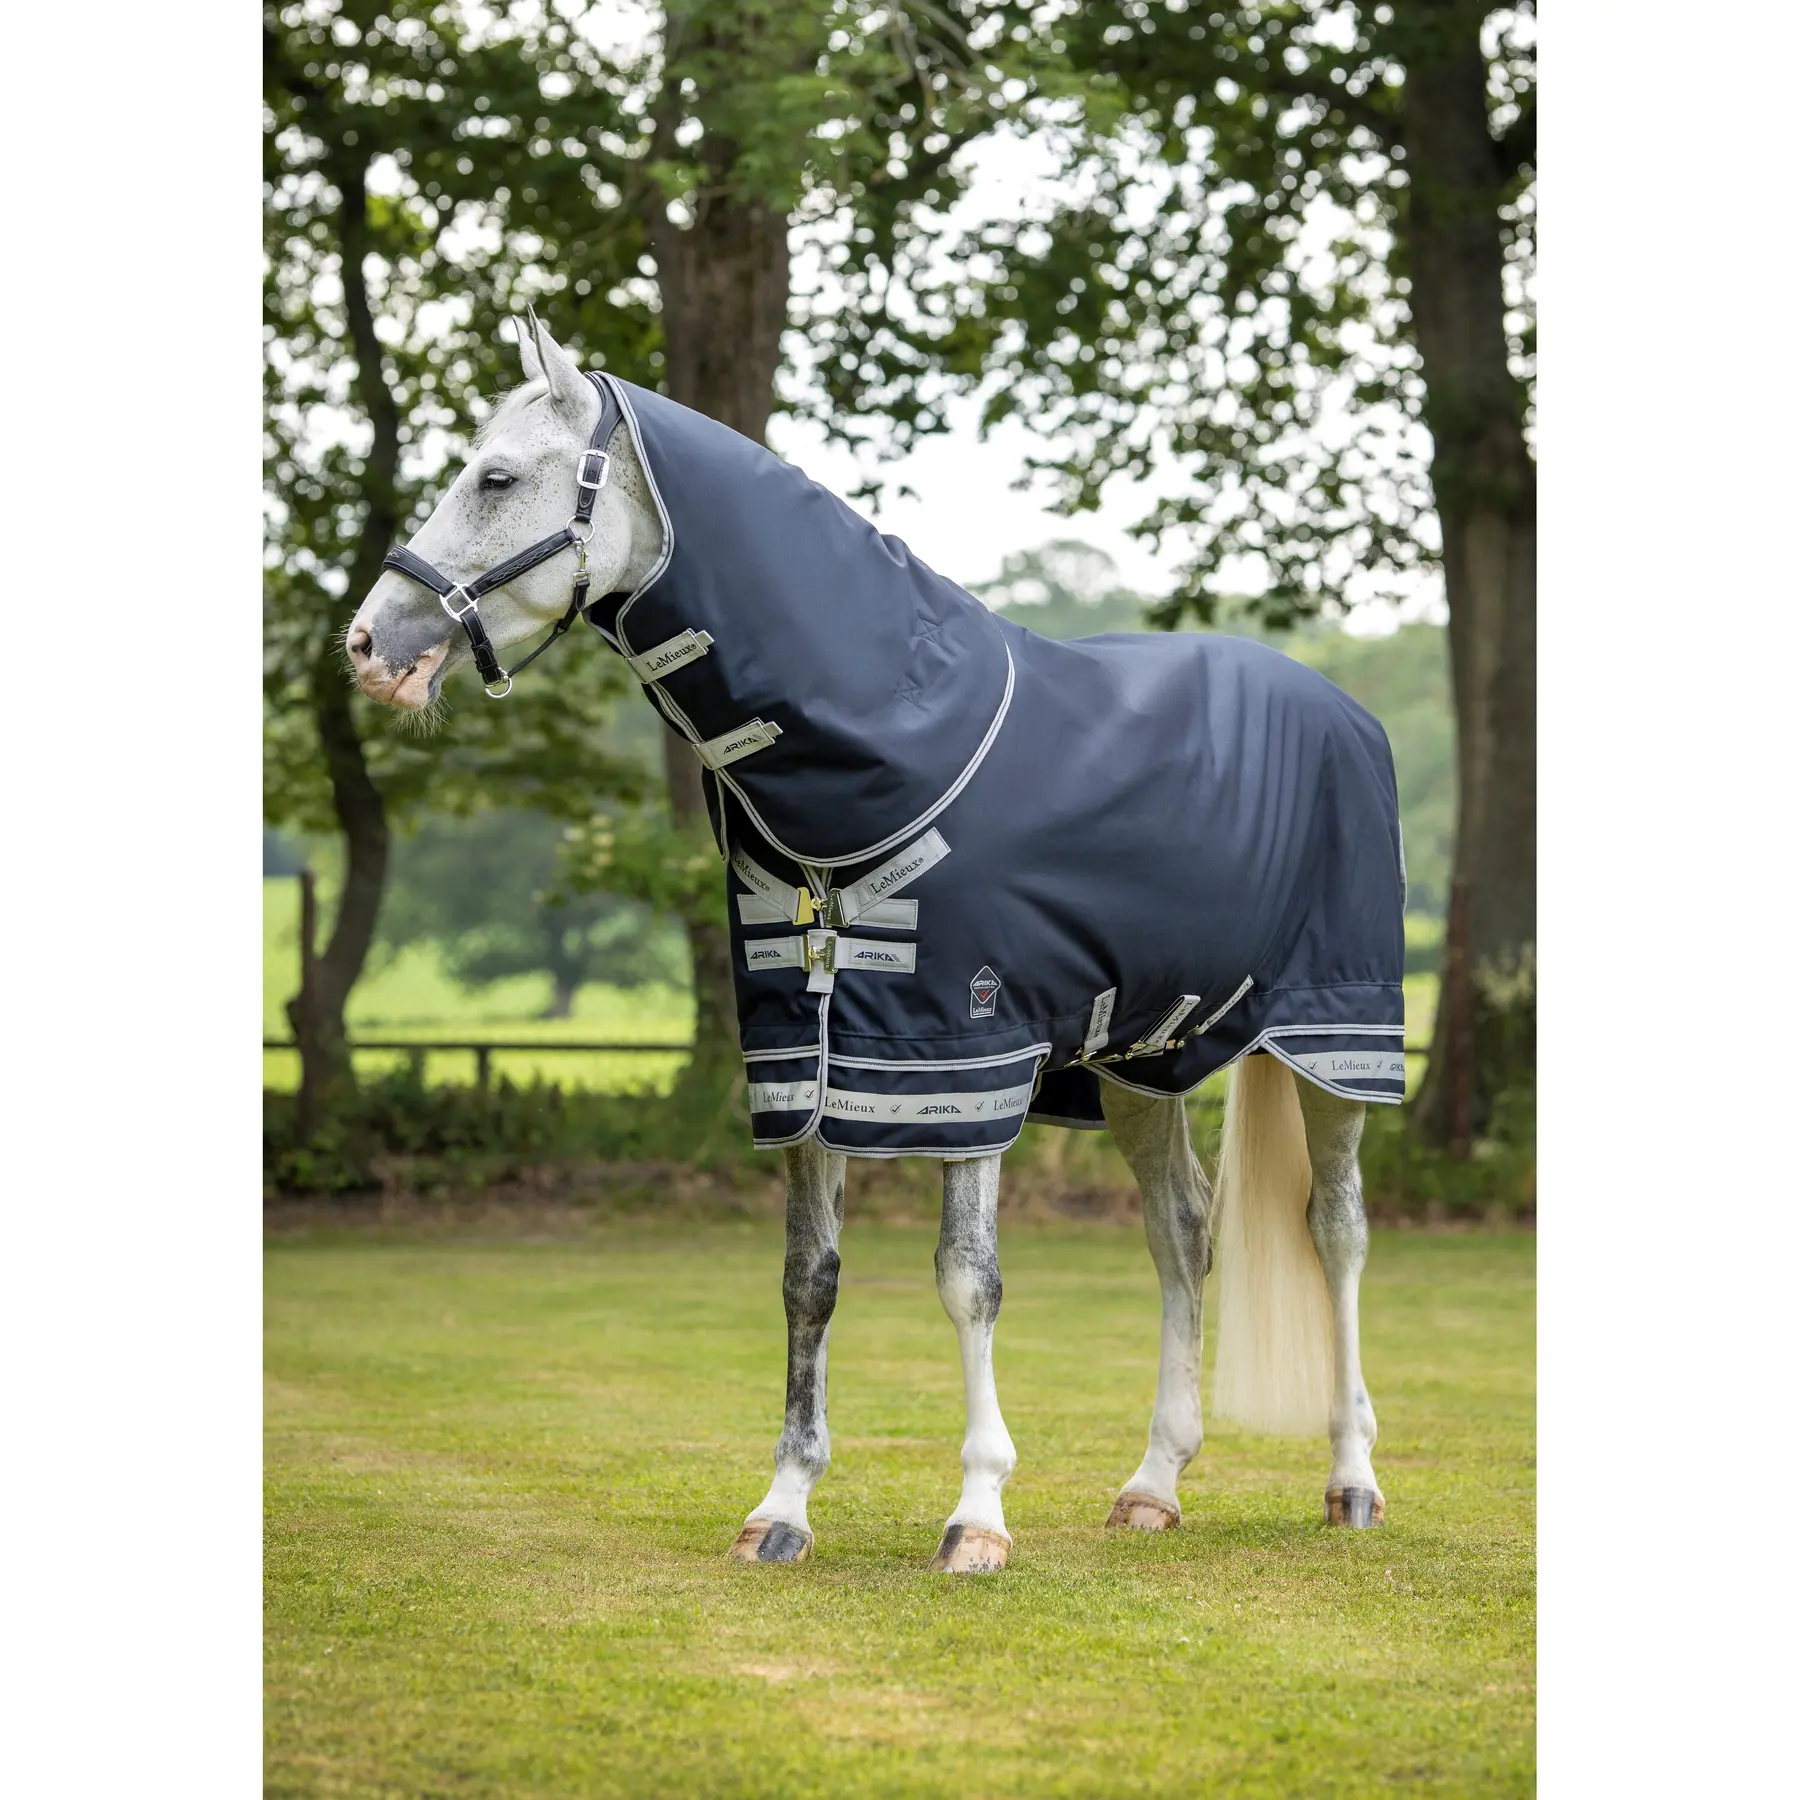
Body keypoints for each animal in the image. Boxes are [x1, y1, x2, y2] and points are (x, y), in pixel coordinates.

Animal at [346, 313, 1400, 1574]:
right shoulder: (806, 1060)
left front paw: (979, 1514)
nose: (370, 644)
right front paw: (782, 1508)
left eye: (496, 478)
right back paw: (1154, 1484)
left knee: (1337, 1235)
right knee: (1182, 1232)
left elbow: (968, 1282)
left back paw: (1351, 1479)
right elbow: (809, 1280)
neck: (884, 753)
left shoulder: (968, 1056)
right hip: (1143, 1059)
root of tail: (1346, 712)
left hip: (1335, 1045)